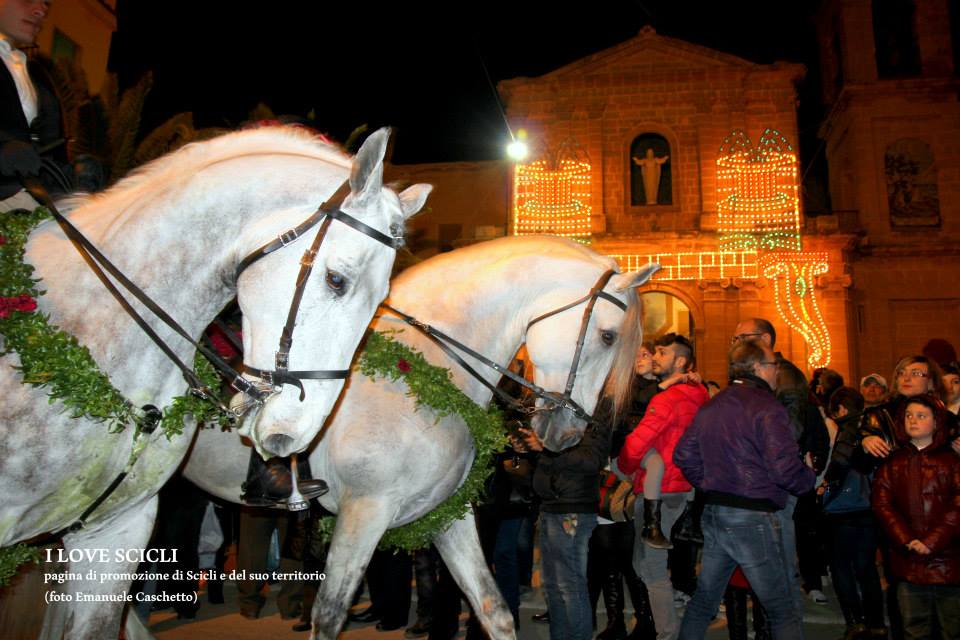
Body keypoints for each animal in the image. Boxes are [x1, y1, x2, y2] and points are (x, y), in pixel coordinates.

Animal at [183, 238, 656, 640]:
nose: (570, 433)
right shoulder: (364, 510)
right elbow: (329, 615)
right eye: (608, 336)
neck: (424, 365)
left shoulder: (447, 510)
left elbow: (493, 607)